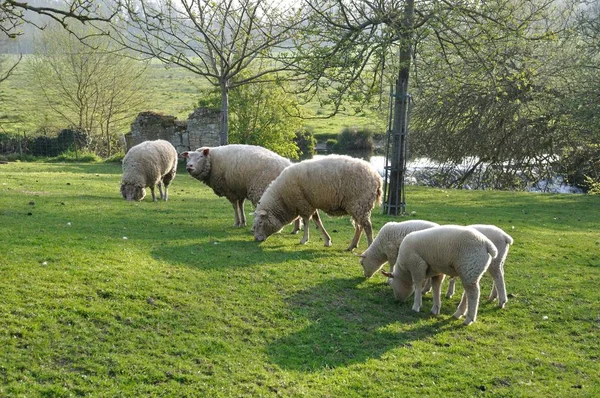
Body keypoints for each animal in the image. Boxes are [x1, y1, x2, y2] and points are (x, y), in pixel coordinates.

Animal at [180, 145, 308, 230]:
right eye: (188, 157)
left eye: (201, 156)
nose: (189, 166)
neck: (212, 162)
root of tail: (288, 165)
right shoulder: (239, 190)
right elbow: (240, 205)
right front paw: (243, 222)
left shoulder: (230, 190)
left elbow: (235, 206)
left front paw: (237, 223)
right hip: (289, 192)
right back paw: (296, 229)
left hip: (264, 190)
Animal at [252, 154, 382, 250]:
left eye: (260, 223)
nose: (256, 239)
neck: (283, 199)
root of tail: (377, 177)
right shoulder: (310, 203)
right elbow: (317, 221)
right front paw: (327, 240)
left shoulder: (303, 204)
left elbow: (306, 222)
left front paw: (304, 239)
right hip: (357, 206)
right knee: (359, 226)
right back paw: (352, 246)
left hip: (360, 203)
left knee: (367, 227)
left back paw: (368, 246)